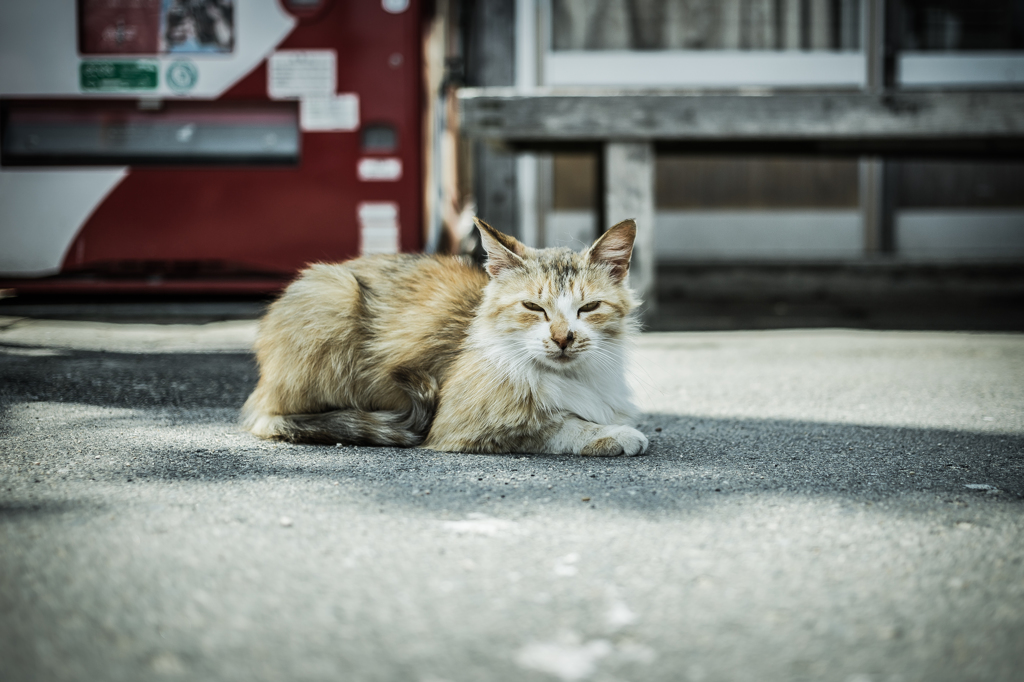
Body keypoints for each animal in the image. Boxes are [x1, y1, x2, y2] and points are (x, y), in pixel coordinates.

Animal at [241, 218, 647, 456]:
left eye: (589, 307)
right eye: (533, 307)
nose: (564, 339)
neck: (571, 377)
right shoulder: (463, 424)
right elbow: (561, 424)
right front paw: (612, 434)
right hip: (333, 297)